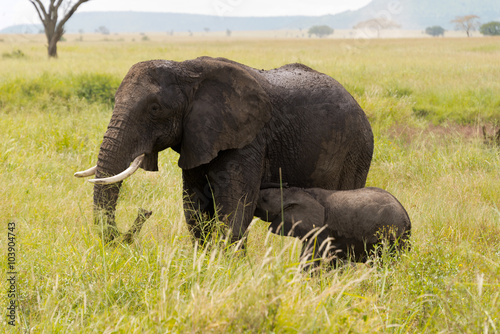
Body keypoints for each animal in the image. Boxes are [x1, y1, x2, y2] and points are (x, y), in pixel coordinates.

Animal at [73, 56, 372, 243]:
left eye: (155, 109)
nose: (144, 213)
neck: (187, 70)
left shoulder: (249, 140)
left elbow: (234, 208)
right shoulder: (198, 139)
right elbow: (194, 209)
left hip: (357, 150)